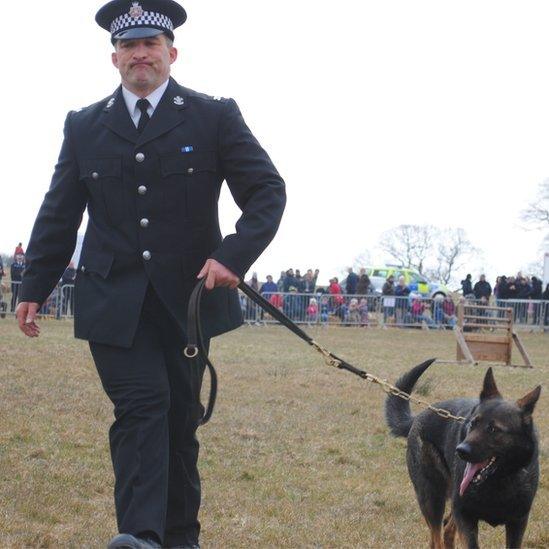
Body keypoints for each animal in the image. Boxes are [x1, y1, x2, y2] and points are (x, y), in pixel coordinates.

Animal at [386, 360, 540, 548]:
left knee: (446, 531)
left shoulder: (517, 523)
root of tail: (418, 417)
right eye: (472, 424)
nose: (460, 450)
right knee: (437, 538)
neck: (497, 482)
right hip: (432, 499)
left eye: (493, 429)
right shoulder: (465, 517)